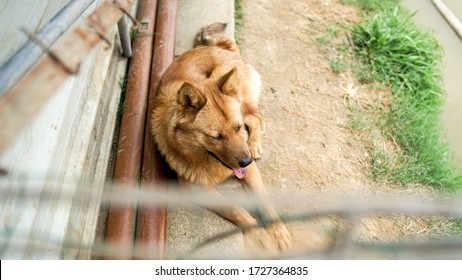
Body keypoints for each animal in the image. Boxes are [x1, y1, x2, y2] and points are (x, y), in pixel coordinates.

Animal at [151, 23, 288, 252]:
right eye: (216, 137)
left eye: (238, 128)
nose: (246, 161)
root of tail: (218, 47)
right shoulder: (198, 192)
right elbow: (238, 210)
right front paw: (260, 236)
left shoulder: (251, 172)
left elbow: (264, 201)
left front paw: (277, 231)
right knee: (254, 118)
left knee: (255, 117)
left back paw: (254, 144)